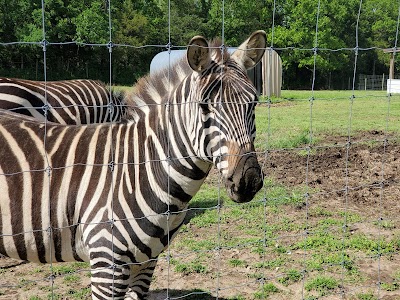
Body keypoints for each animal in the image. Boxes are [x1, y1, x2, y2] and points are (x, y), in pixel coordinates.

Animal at [0, 31, 268, 300]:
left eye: (254, 103)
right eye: (204, 106)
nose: (248, 179)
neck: (142, 170)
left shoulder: (147, 262)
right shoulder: (107, 264)